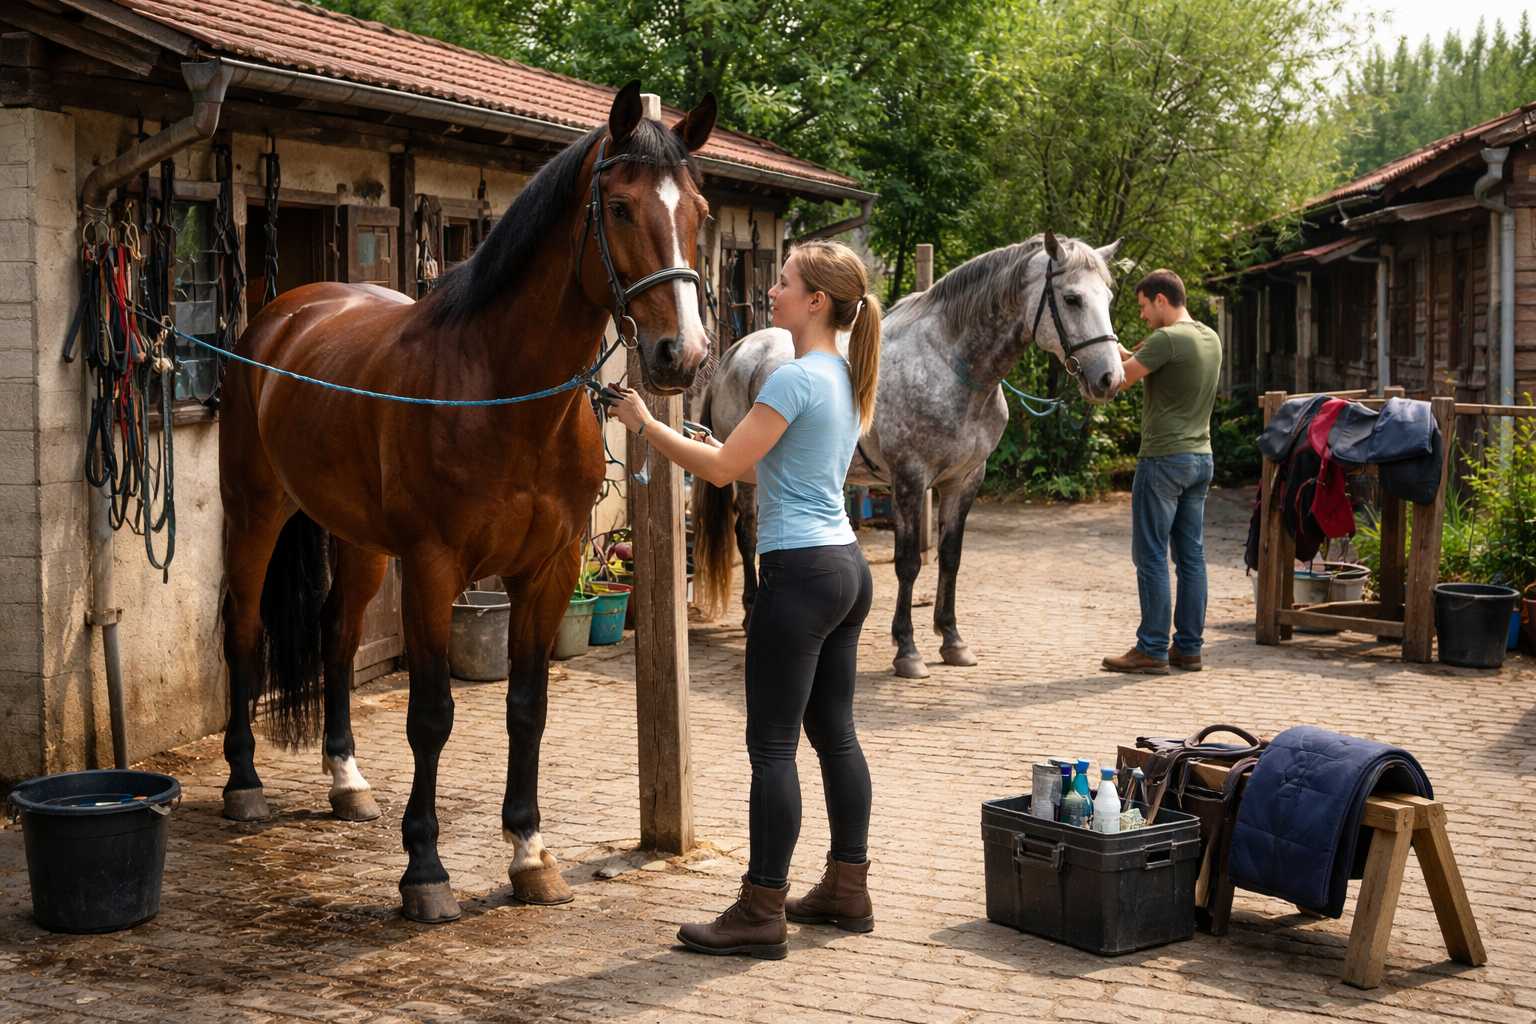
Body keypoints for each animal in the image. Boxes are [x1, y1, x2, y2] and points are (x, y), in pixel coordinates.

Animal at [217, 82, 717, 923]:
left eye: (702, 213)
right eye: (619, 207)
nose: (682, 355)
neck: (501, 390)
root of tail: (280, 318)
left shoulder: (547, 570)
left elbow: (526, 707)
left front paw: (530, 857)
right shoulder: (433, 567)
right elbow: (432, 715)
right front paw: (425, 871)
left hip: (359, 543)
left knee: (338, 635)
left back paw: (347, 781)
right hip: (255, 513)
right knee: (245, 631)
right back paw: (245, 785)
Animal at [692, 232, 1121, 678]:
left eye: (1109, 297)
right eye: (1072, 298)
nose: (1110, 378)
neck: (952, 368)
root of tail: (740, 349)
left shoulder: (964, 480)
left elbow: (950, 558)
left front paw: (952, 639)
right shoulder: (910, 480)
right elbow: (909, 562)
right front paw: (907, 649)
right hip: (745, 474)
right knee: (747, 534)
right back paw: (750, 611)